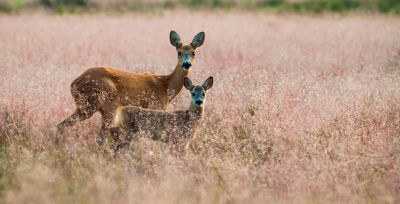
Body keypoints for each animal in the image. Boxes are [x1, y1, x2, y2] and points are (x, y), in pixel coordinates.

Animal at [55, 30, 206, 148]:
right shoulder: (155, 105)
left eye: (193, 52)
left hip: (86, 108)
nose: (186, 64)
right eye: (178, 52)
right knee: (101, 138)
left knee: (61, 125)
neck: (165, 86)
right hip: (109, 104)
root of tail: (74, 84)